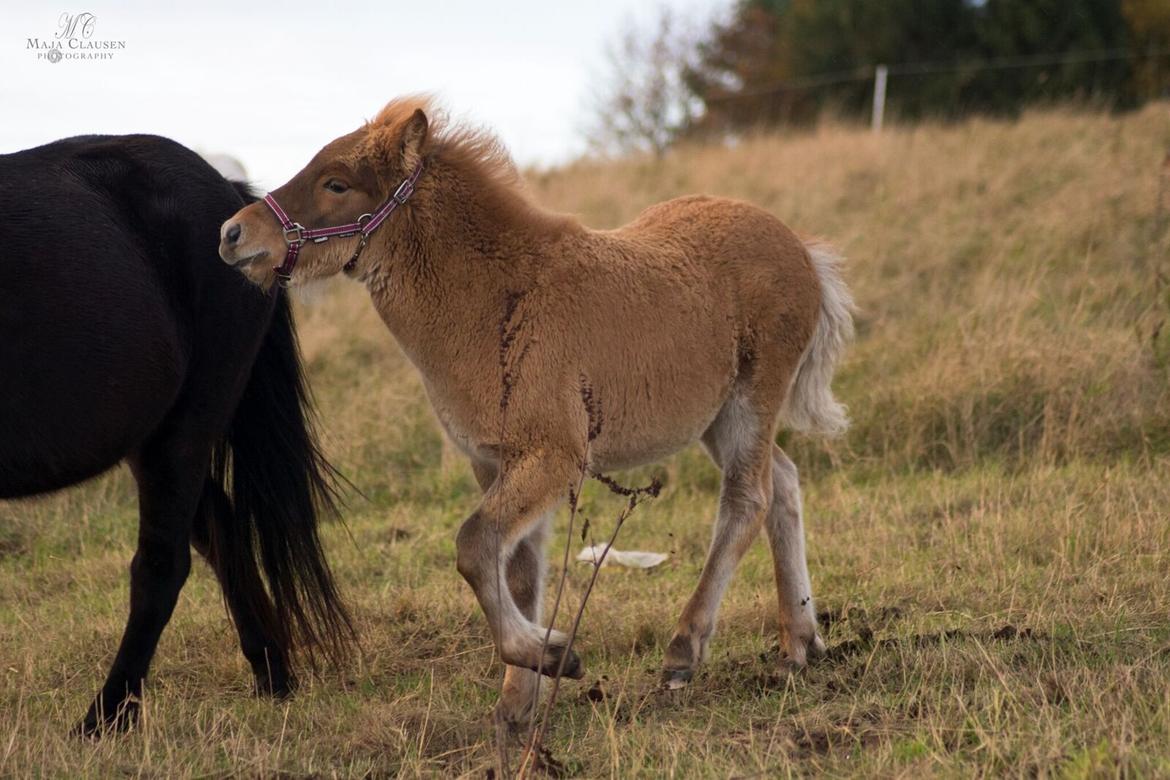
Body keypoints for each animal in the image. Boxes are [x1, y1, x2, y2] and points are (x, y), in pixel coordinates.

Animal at [0, 135, 351, 739]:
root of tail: (232, 202)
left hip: (186, 428)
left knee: (163, 567)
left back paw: (105, 719)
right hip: (159, 438)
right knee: (221, 534)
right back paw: (272, 676)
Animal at [219, 99, 856, 734]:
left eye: (336, 183)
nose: (233, 233)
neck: (496, 301)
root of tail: (801, 248)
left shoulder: (554, 454)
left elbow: (475, 545)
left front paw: (552, 655)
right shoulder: (496, 461)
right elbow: (518, 571)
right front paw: (518, 701)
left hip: (753, 398)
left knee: (748, 499)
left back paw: (685, 651)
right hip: (715, 419)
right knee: (783, 482)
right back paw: (800, 642)